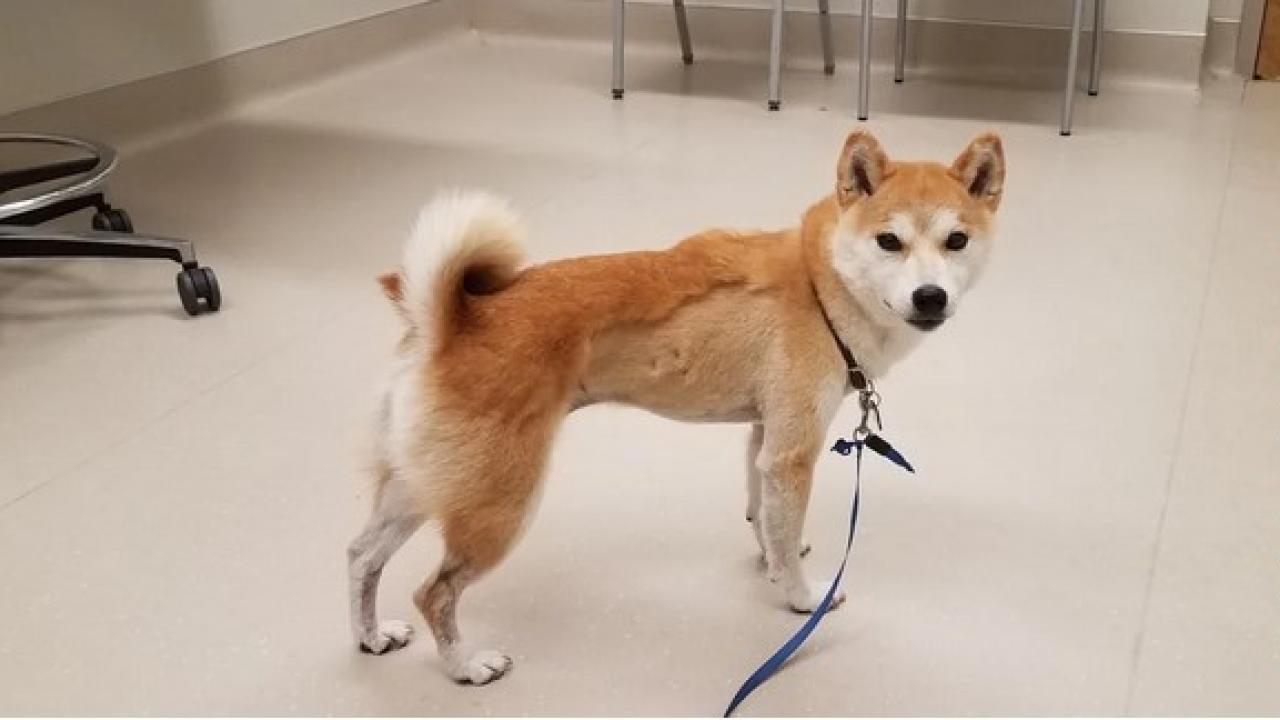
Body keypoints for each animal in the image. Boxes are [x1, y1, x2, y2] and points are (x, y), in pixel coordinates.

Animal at [350, 130, 1008, 681]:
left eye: (956, 241)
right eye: (889, 241)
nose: (930, 296)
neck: (821, 283)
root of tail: (449, 320)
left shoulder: (764, 438)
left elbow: (765, 520)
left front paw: (775, 558)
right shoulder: (792, 454)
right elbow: (785, 537)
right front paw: (800, 597)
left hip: (428, 482)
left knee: (361, 557)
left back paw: (372, 636)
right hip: (500, 503)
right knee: (434, 593)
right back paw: (466, 665)